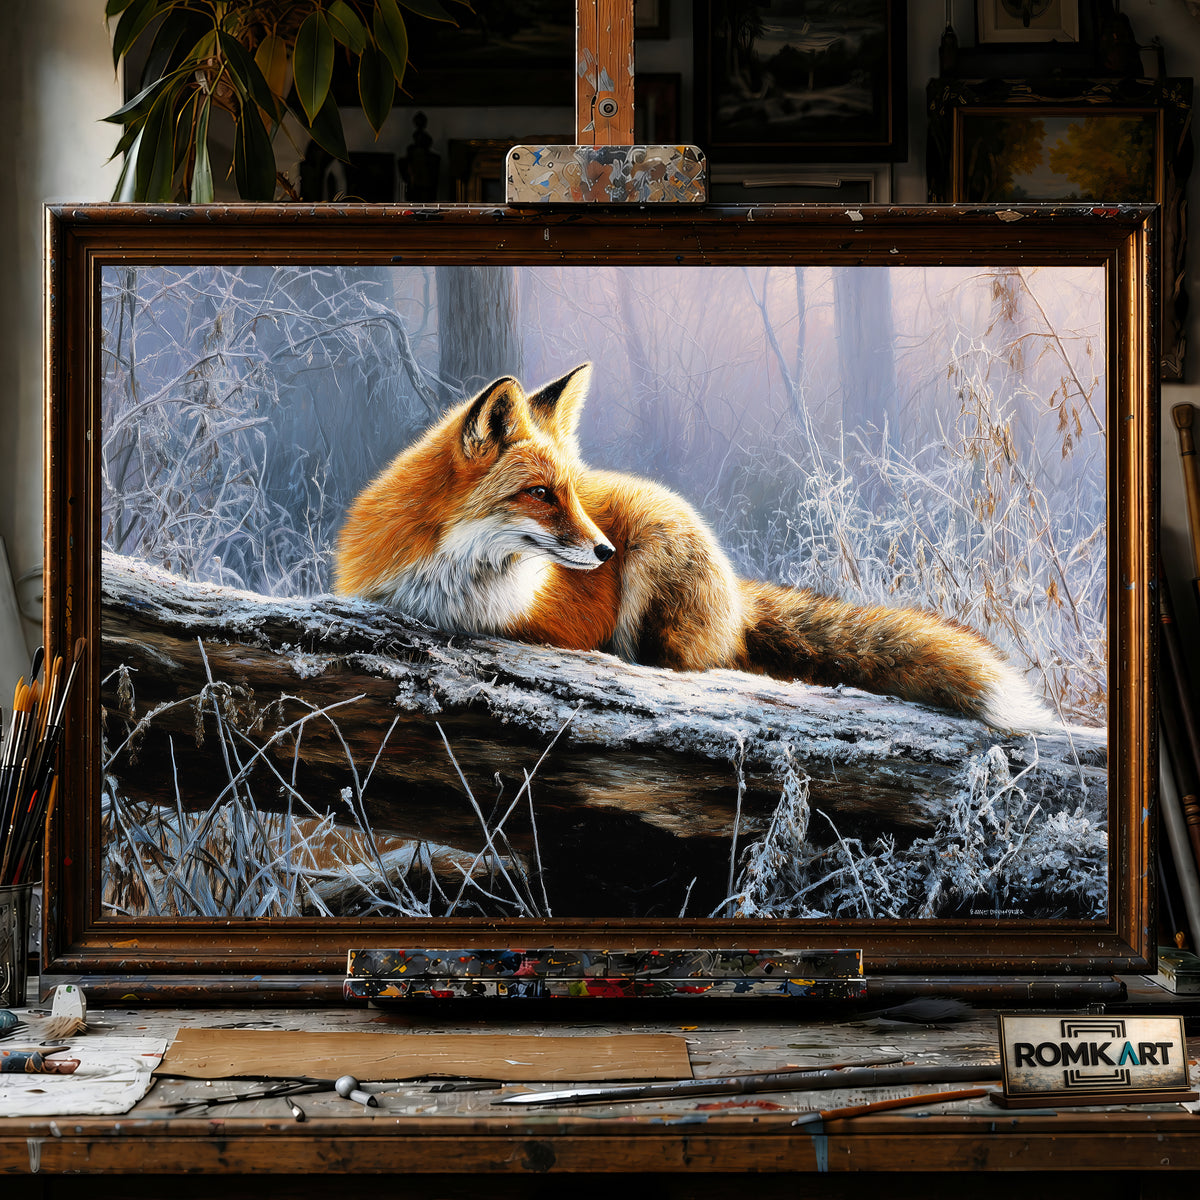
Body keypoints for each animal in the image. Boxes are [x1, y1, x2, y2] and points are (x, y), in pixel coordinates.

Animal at [334, 364, 1052, 731]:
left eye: (573, 493)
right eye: (540, 494)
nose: (604, 552)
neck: (448, 582)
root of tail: (735, 594)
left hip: (656, 570)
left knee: (694, 667)